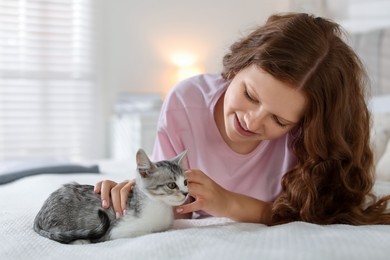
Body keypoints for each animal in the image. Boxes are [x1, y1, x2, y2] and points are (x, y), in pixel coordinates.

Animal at [32, 148, 188, 244]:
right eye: (172, 185)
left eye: (185, 182)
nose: (186, 193)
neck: (159, 206)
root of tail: (39, 214)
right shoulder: (118, 230)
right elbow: (146, 232)